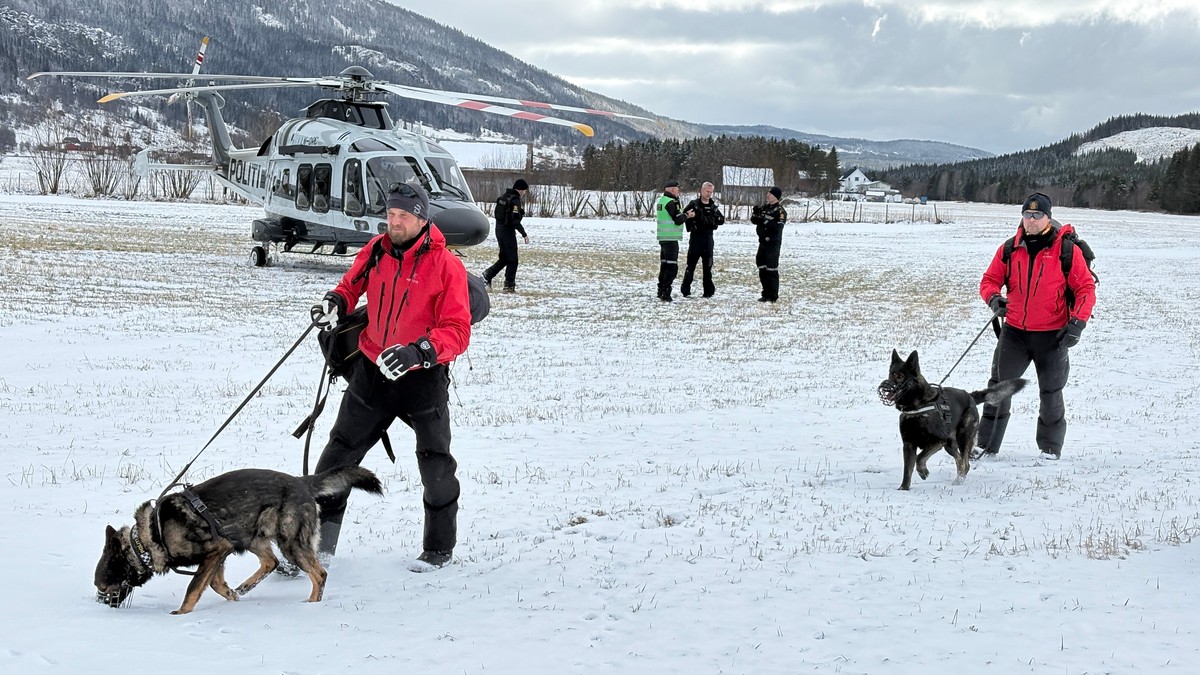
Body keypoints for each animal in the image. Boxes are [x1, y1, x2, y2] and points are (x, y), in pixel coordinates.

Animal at [96, 466, 381, 612]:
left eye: (103, 588)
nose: (102, 606)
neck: (147, 540)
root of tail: (301, 482)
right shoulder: (219, 554)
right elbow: (214, 584)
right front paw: (232, 596)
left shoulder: (216, 549)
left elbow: (194, 587)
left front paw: (181, 613)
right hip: (252, 536)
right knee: (271, 562)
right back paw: (245, 587)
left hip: (291, 543)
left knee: (318, 574)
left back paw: (311, 604)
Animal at [878, 345, 1027, 487]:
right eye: (890, 375)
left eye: (900, 377)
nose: (885, 388)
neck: (918, 407)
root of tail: (970, 396)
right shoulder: (908, 445)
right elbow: (907, 470)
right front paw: (903, 489)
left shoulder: (937, 441)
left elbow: (920, 457)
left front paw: (923, 471)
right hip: (950, 445)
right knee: (960, 461)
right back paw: (958, 479)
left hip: (963, 438)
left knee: (965, 463)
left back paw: (958, 482)